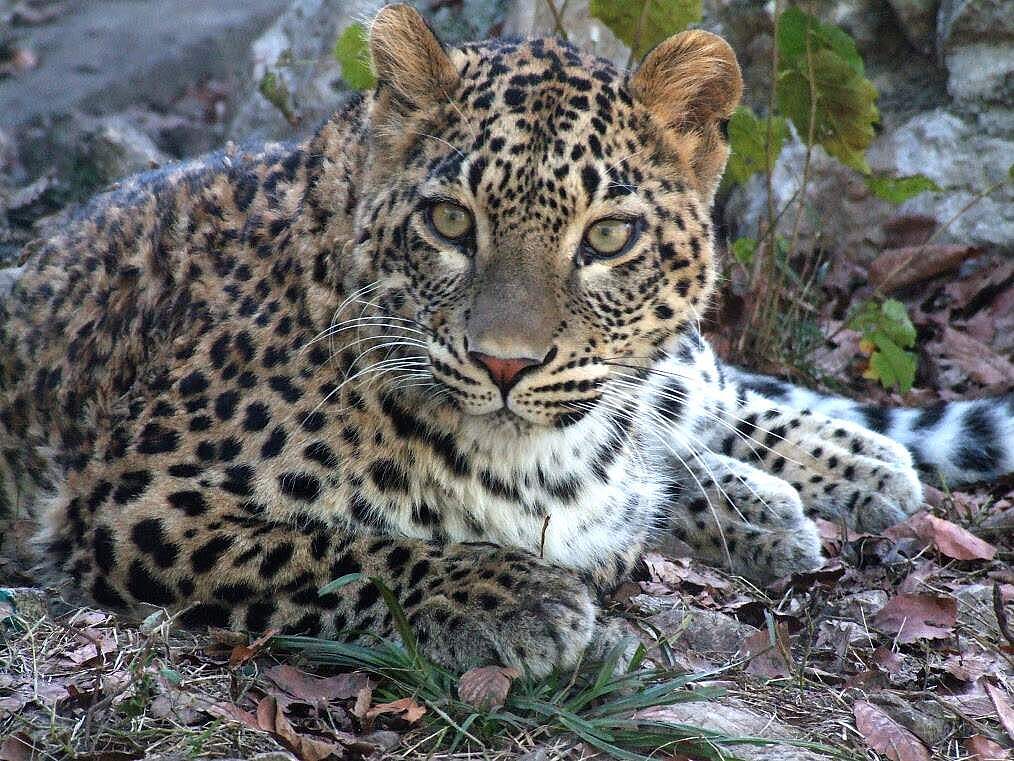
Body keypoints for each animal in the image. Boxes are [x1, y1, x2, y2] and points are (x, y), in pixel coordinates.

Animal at [1, 4, 1011, 677]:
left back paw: (848, 465)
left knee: (705, 386)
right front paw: (508, 595)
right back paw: (772, 504)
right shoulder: (139, 499)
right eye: (452, 221)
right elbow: (330, 547)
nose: (504, 364)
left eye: (608, 237)